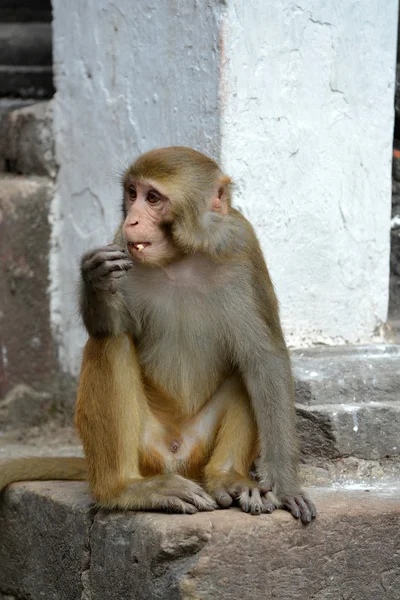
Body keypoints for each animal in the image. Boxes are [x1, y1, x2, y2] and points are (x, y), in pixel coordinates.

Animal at [0, 148, 316, 524]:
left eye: (153, 198)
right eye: (131, 194)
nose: (132, 220)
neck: (182, 258)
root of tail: (176, 457)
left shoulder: (243, 245)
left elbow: (265, 359)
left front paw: (284, 484)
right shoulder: (119, 243)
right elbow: (110, 327)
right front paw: (95, 276)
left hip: (198, 447)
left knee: (246, 369)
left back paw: (227, 477)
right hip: (145, 447)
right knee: (111, 344)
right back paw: (124, 489)